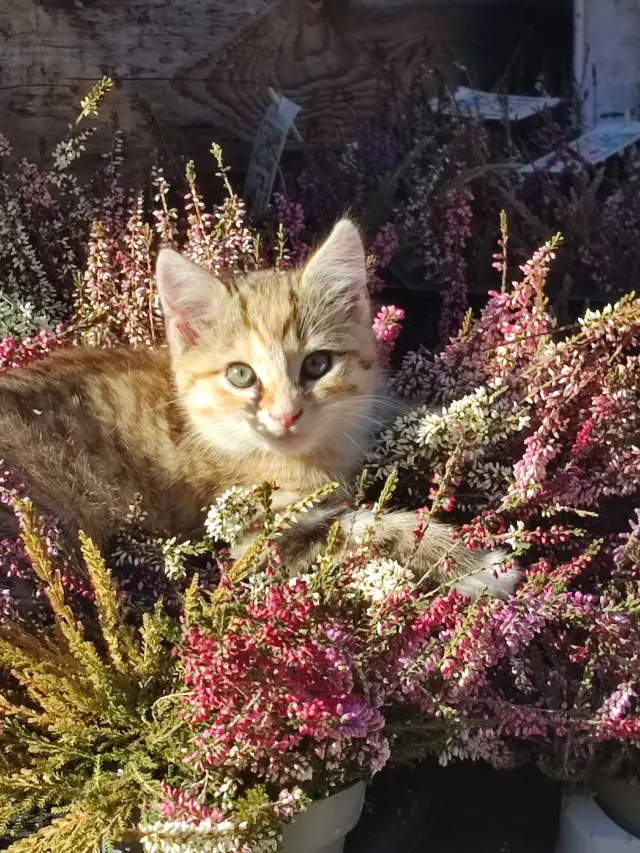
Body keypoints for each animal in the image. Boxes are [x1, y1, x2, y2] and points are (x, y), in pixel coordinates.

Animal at [0, 219, 519, 598]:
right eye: (240, 375)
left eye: (317, 364)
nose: (285, 415)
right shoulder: (253, 534)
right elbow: (364, 526)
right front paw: (473, 563)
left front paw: (476, 415)